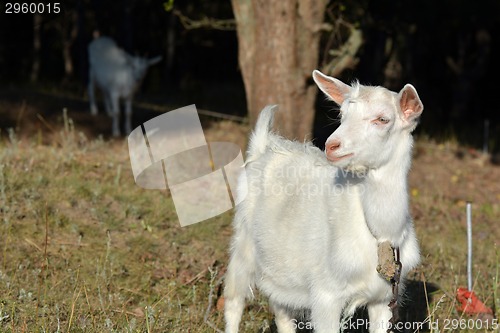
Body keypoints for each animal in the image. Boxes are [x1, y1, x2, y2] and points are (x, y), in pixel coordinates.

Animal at [225, 70, 424, 332]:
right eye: (342, 115)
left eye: (383, 119)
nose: (332, 146)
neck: (380, 234)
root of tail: (262, 148)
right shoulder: (325, 294)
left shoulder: (384, 298)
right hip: (243, 242)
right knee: (234, 300)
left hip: (277, 263)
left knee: (280, 307)